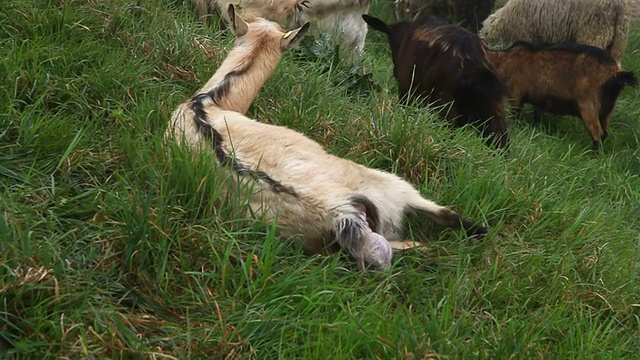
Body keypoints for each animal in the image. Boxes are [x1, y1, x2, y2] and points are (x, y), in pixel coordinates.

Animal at [488, 41, 636, 150]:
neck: (504, 60)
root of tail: (615, 73)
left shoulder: (515, 94)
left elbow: (516, 114)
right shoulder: (540, 100)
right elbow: (538, 116)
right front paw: (537, 129)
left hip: (589, 105)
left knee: (597, 133)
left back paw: (594, 155)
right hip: (607, 108)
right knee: (604, 132)